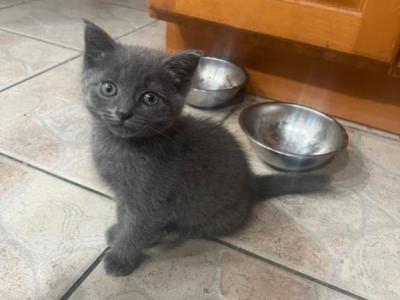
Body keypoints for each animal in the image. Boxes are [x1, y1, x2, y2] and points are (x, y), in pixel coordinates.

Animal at [82, 19, 332, 276]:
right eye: (108, 88)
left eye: (150, 98)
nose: (123, 113)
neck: (120, 146)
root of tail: (252, 185)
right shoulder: (124, 194)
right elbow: (124, 215)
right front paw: (118, 231)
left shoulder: (152, 200)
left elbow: (136, 228)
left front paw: (120, 257)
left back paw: (164, 233)